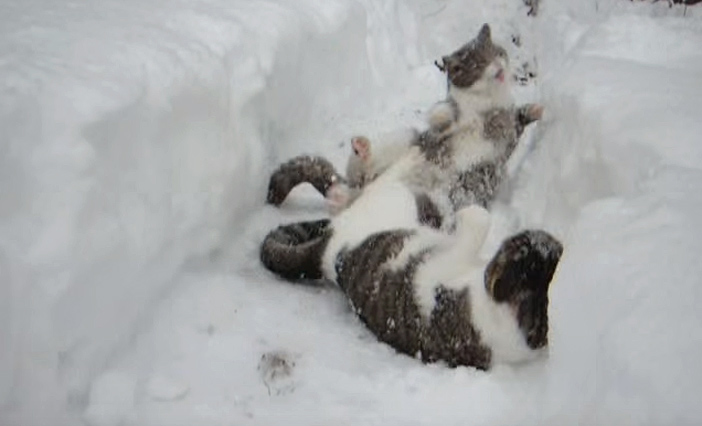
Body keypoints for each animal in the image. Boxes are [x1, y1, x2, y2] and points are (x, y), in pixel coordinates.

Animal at [262, 147, 564, 370]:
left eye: (523, 246)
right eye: (534, 242)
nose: (553, 241)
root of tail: (326, 252)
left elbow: (479, 218)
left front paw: (462, 214)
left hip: (392, 200)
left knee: (381, 183)